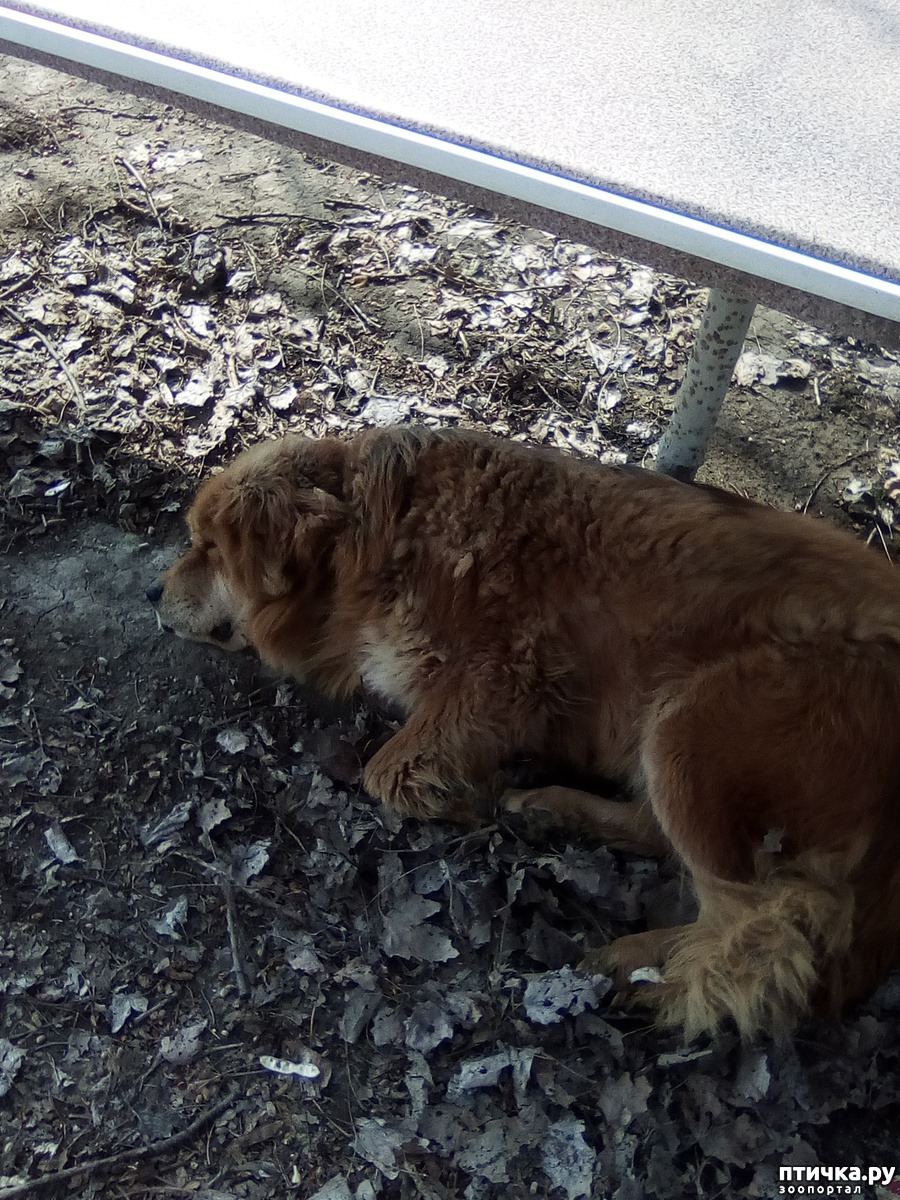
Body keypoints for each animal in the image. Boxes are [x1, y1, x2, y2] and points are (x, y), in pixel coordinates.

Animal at [148, 425, 900, 1040]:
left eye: (209, 548)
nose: (153, 592)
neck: (369, 534)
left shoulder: (504, 676)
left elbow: (384, 770)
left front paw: (458, 797)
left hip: (691, 718)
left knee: (766, 923)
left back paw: (650, 971)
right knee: (669, 842)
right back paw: (551, 811)